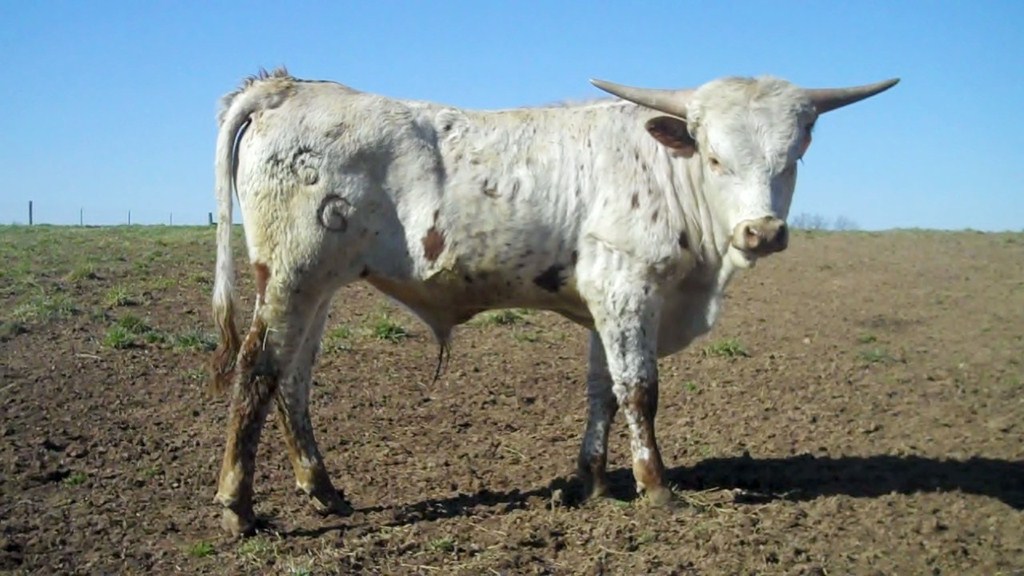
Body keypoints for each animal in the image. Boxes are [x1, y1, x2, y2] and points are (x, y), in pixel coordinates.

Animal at [208, 68, 897, 536]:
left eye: (794, 156)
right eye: (716, 157)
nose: (762, 232)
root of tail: (287, 87)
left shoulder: (606, 304)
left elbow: (603, 392)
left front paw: (589, 482)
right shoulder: (628, 288)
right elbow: (640, 392)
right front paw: (657, 488)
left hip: (318, 285)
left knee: (294, 379)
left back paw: (323, 490)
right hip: (291, 276)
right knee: (258, 369)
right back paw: (239, 508)